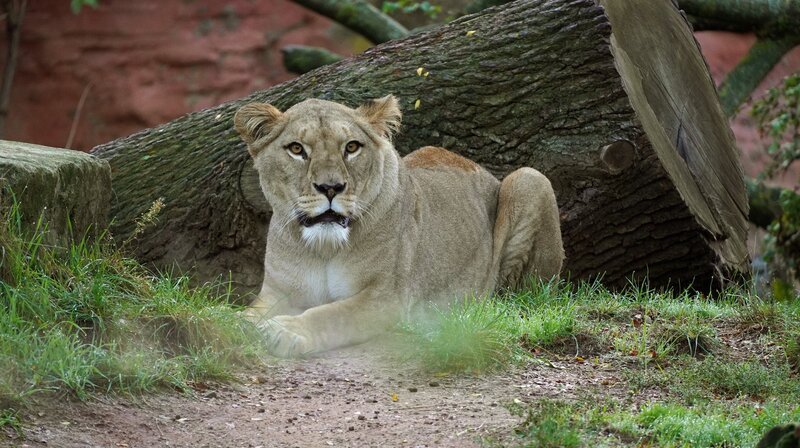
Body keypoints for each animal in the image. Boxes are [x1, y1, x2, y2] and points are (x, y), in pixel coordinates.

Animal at [233, 95, 564, 357]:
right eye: (296, 149)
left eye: (351, 147)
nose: (331, 187)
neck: (323, 248)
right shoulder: (276, 292)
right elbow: (246, 313)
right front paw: (237, 325)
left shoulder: (385, 298)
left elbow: (331, 314)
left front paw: (286, 331)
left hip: (529, 179)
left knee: (524, 295)